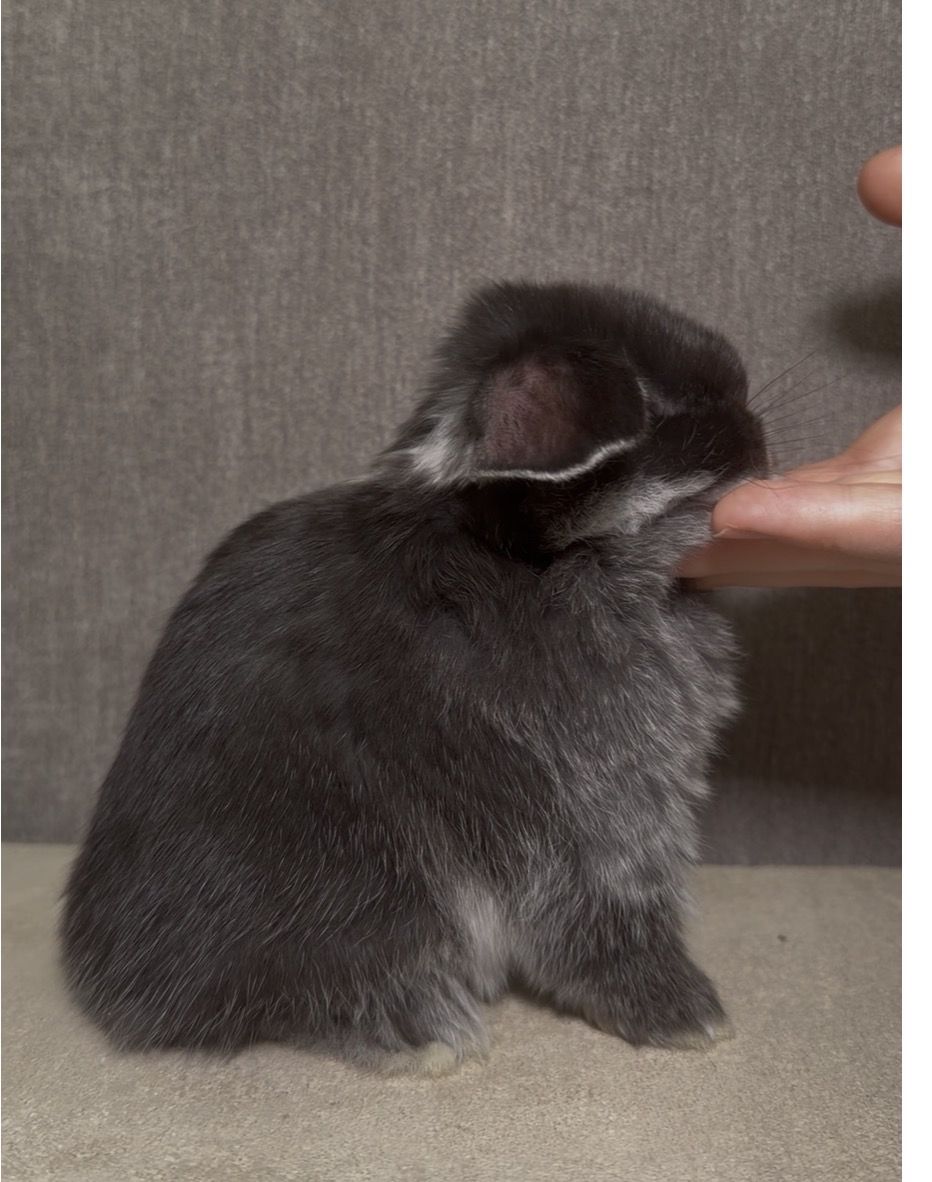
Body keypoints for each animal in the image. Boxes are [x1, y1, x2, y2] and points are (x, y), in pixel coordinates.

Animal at [61, 280, 767, 1076]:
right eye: (671, 410)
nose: (755, 429)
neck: (534, 559)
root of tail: (118, 988)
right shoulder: (595, 811)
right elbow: (604, 918)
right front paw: (682, 1012)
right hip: (358, 881)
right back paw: (421, 1033)